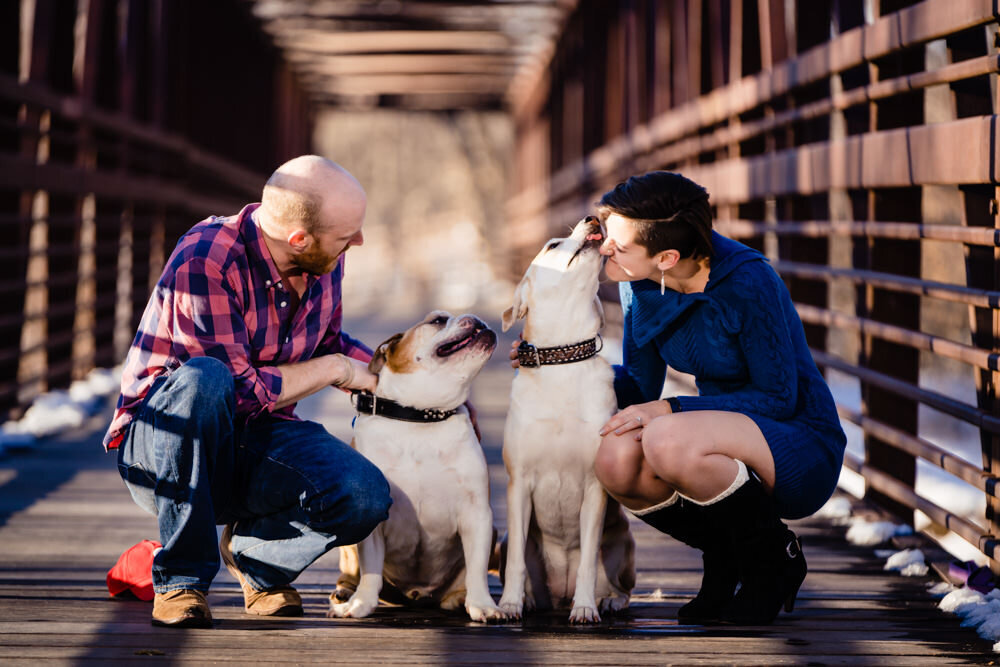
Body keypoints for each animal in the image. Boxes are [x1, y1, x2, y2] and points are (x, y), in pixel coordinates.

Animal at [328, 314, 504, 628]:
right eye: (438, 320)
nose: (477, 318)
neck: (421, 416)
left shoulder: (477, 514)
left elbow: (477, 566)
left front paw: (482, 605)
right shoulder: (375, 523)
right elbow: (370, 569)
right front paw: (361, 604)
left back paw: (458, 598)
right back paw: (344, 594)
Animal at [498, 217, 632, 624]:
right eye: (552, 245)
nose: (593, 218)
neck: (564, 355)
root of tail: (559, 593)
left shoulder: (594, 488)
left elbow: (588, 559)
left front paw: (586, 607)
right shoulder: (519, 485)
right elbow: (515, 563)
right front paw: (509, 604)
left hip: (623, 540)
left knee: (619, 584)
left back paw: (607, 600)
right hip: (509, 539)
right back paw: (529, 600)